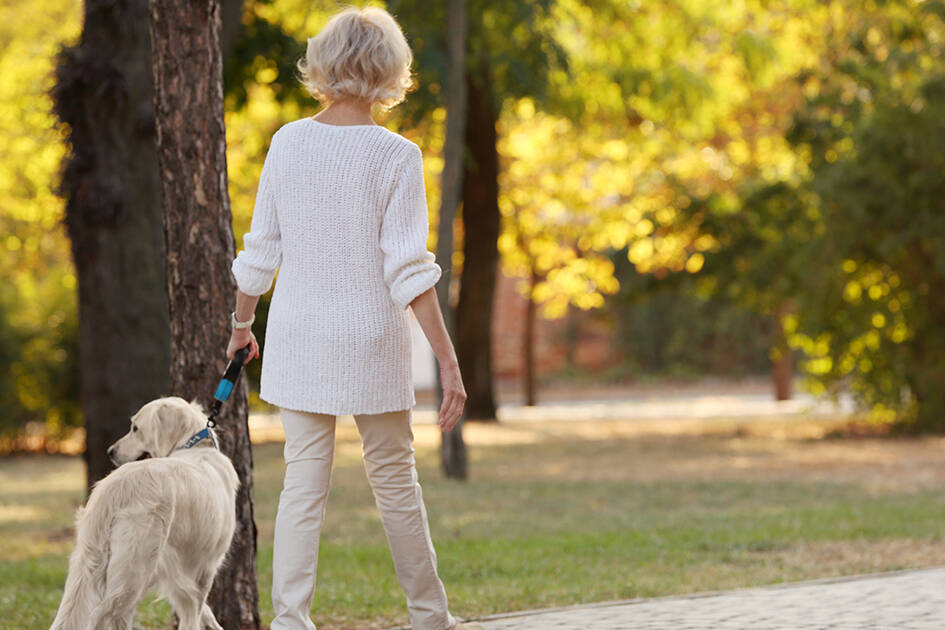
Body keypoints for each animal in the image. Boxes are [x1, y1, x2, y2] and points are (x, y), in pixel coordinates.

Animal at [49, 400, 242, 630]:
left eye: (135, 429)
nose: (110, 451)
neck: (194, 446)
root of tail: (113, 488)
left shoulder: (177, 571)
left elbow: (199, 608)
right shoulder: (204, 568)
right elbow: (193, 610)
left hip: (89, 562)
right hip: (135, 570)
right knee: (101, 615)